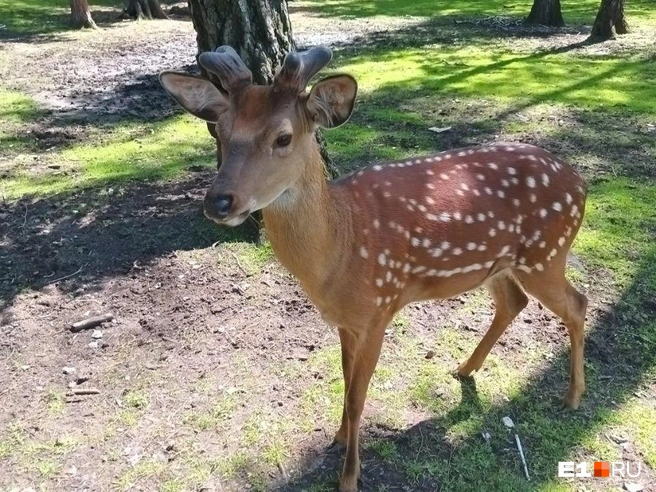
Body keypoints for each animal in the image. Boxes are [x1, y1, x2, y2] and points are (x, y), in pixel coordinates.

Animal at [159, 45, 588, 491]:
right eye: (220, 131)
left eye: (283, 137)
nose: (218, 202)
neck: (338, 250)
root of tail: (581, 183)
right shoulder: (346, 321)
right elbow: (346, 384)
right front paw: (337, 437)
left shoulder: (378, 310)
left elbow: (357, 397)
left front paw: (349, 476)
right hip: (500, 265)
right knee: (514, 302)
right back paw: (465, 369)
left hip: (547, 253)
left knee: (577, 303)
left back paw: (573, 396)